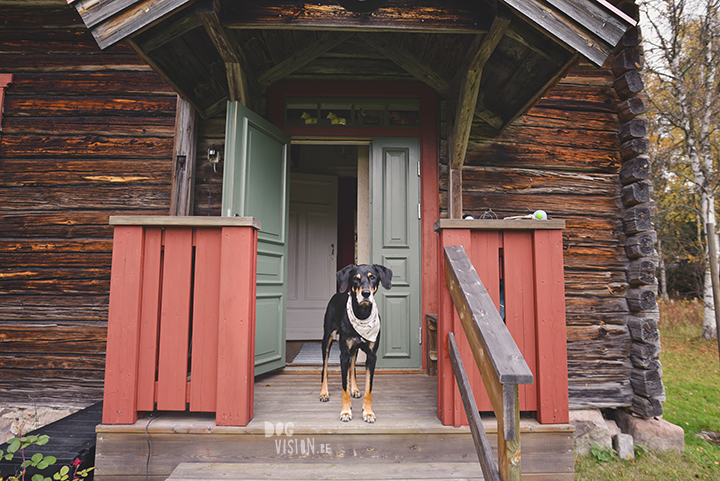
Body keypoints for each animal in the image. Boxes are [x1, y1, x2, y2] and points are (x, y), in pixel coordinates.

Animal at [318, 264, 390, 422]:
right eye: (356, 279)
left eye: (372, 277)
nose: (366, 293)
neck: (362, 314)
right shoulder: (343, 354)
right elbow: (344, 389)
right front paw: (345, 412)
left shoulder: (372, 356)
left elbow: (368, 389)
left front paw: (368, 413)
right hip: (327, 339)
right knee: (325, 369)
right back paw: (324, 393)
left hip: (355, 350)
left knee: (352, 367)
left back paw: (355, 390)